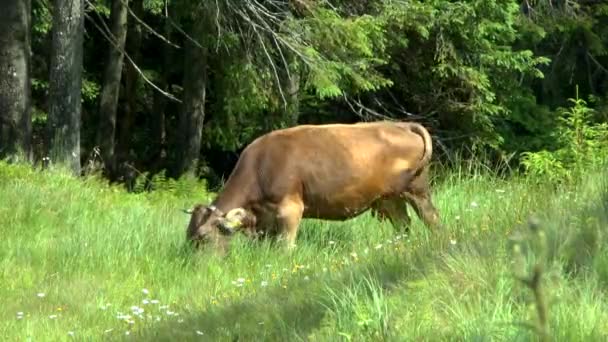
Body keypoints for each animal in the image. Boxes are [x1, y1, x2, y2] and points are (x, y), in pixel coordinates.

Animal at [183, 120, 440, 251]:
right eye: (188, 234)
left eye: (203, 237)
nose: (193, 263)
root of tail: (401, 124)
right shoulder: (265, 220)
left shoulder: (290, 209)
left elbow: (285, 246)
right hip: (389, 199)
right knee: (403, 224)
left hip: (417, 191)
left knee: (432, 218)